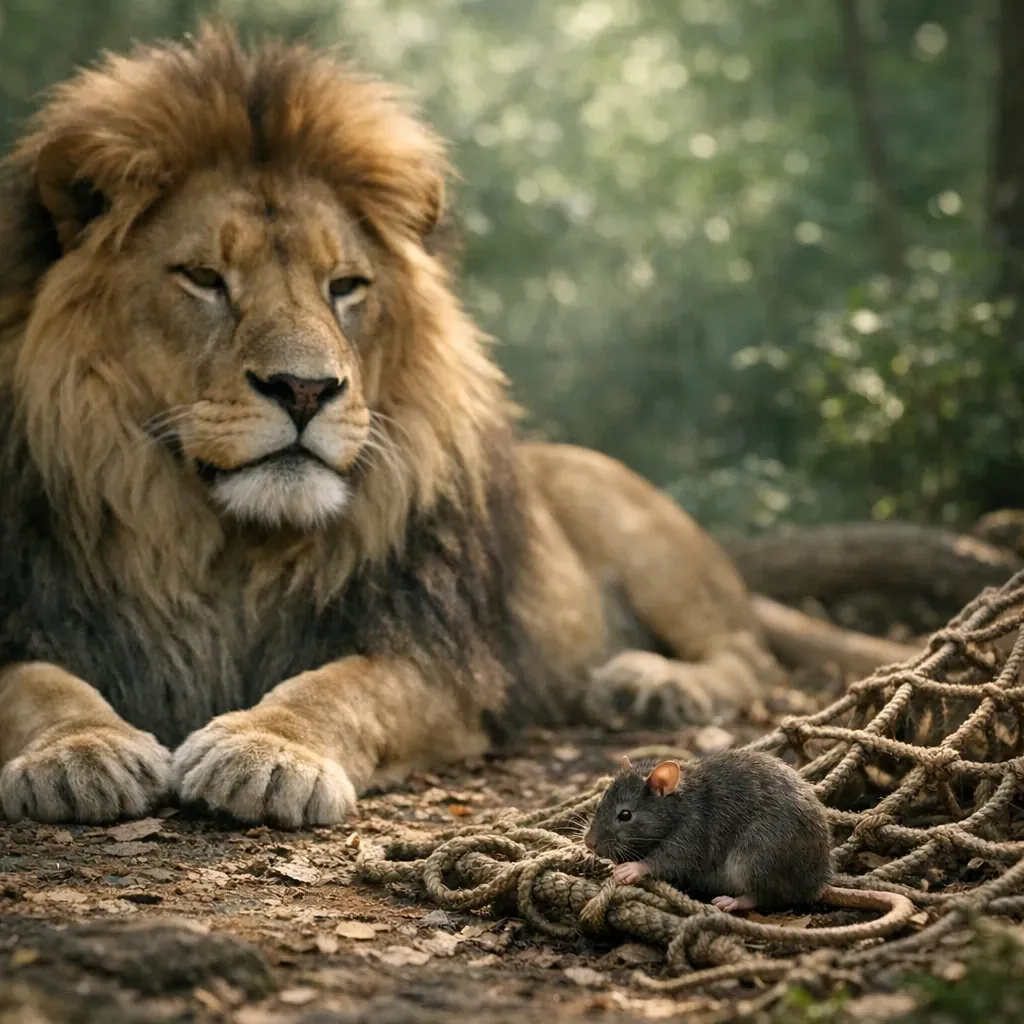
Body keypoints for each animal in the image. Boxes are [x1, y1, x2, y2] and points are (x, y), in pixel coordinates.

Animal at [0, 26, 916, 827]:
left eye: (346, 286)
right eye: (201, 278)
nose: (305, 389)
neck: (229, 545)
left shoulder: (445, 658)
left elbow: (341, 688)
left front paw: (266, 751)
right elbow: (34, 682)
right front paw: (79, 749)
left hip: (637, 529)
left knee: (749, 654)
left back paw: (652, 683)